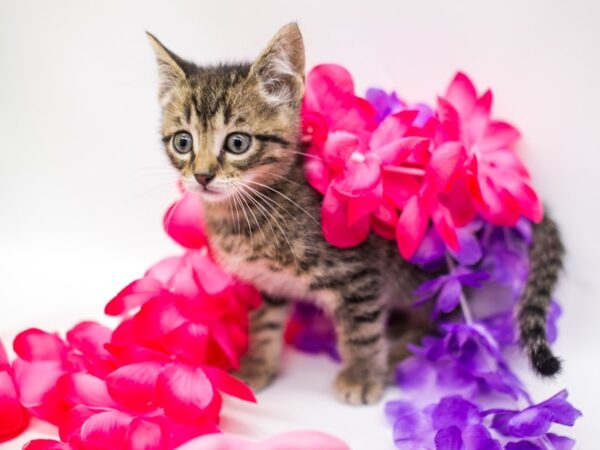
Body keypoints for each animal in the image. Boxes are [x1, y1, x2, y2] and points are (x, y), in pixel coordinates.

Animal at [146, 22, 564, 406]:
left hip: (438, 275)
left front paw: (362, 376)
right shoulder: (270, 283)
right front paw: (257, 365)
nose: (201, 176)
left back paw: (401, 354)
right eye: (183, 142)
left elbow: (361, 331)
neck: (251, 208)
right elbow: (264, 322)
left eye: (237, 143)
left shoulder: (357, 273)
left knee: (445, 319)